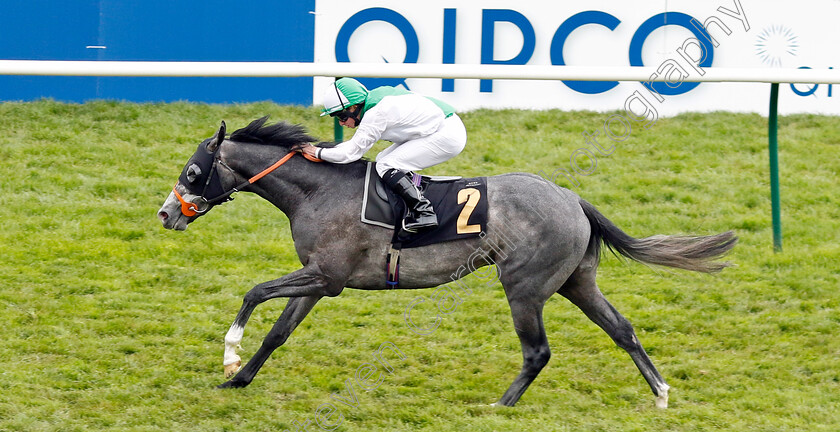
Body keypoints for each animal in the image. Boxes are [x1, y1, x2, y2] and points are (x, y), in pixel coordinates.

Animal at [158, 117, 736, 408]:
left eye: (192, 171)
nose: (165, 214)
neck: (317, 191)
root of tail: (573, 198)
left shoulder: (328, 275)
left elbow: (254, 291)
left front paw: (229, 354)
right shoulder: (320, 279)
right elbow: (279, 333)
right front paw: (237, 380)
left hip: (525, 287)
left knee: (538, 351)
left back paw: (501, 405)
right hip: (576, 281)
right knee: (622, 328)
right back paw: (660, 394)